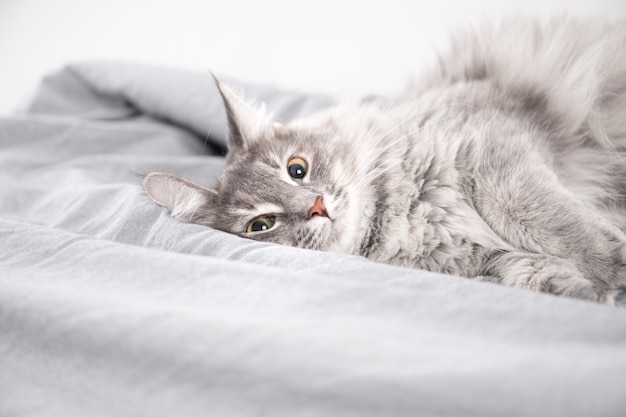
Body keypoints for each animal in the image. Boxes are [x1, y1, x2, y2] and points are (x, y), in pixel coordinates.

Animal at [143, 18, 624, 302]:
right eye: (260, 226)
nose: (316, 206)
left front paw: (612, 267)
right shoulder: (481, 258)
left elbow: (546, 222)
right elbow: (526, 270)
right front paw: (586, 290)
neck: (403, 218)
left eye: (297, 169)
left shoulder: (493, 151)